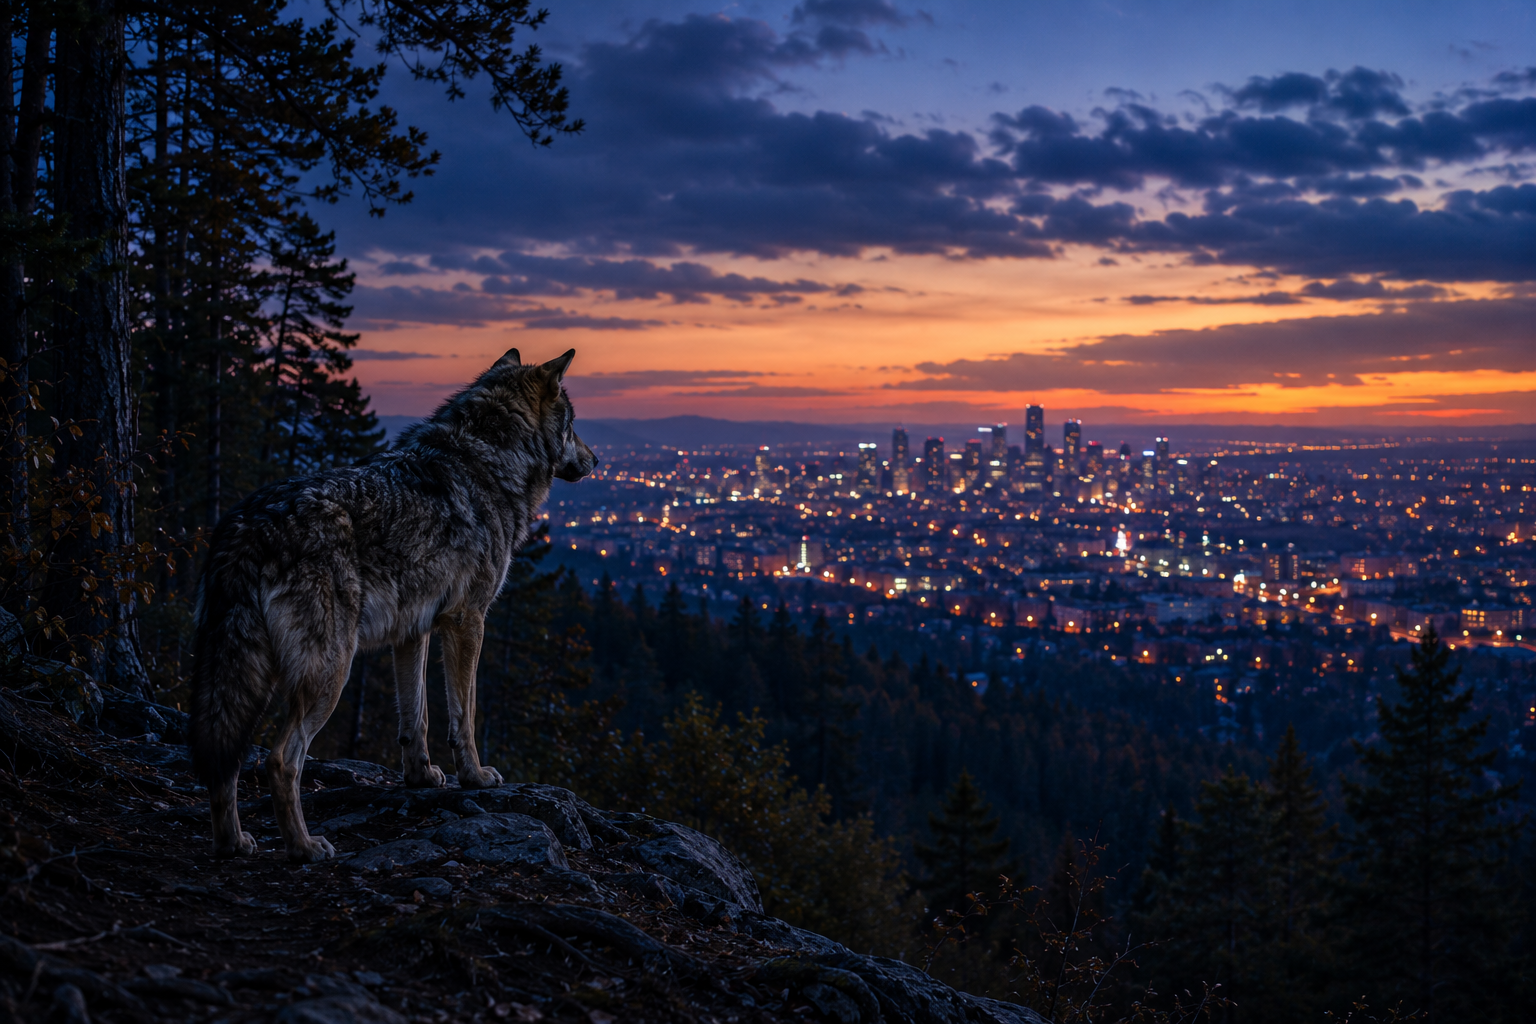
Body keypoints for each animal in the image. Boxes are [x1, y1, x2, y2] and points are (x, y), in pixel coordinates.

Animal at [187, 348, 597, 862]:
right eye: (573, 423)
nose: (596, 460)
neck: (489, 458)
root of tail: (245, 526)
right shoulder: (468, 621)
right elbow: (465, 713)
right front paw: (475, 777)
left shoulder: (413, 630)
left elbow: (415, 717)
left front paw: (420, 776)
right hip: (328, 673)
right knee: (281, 760)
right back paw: (304, 846)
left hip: (247, 678)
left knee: (228, 760)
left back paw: (233, 843)